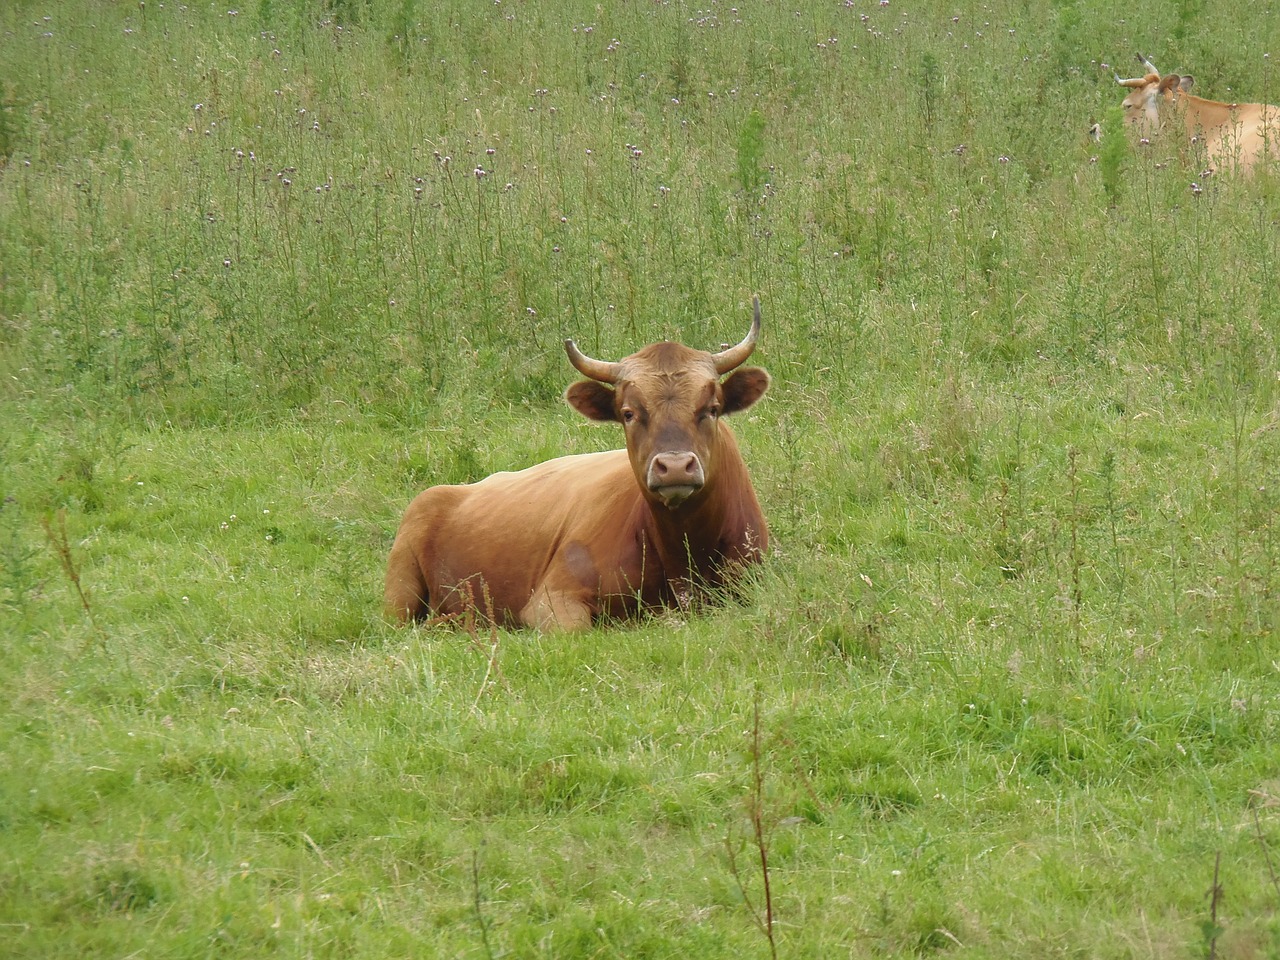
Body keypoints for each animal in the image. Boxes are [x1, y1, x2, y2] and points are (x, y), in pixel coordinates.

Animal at [381, 300, 768, 632]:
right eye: (628, 413)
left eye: (712, 408)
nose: (674, 467)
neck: (682, 553)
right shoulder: (550, 599)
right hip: (399, 592)